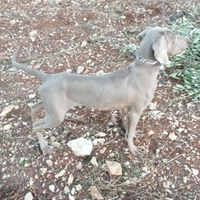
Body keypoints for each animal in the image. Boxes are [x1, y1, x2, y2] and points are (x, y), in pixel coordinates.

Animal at [11, 26, 189, 155]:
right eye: (173, 38)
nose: (188, 40)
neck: (143, 68)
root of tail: (48, 76)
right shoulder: (136, 110)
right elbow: (130, 132)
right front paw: (132, 149)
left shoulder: (129, 109)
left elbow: (130, 128)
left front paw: (131, 134)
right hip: (56, 114)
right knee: (37, 126)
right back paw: (44, 146)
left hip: (51, 103)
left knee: (34, 107)